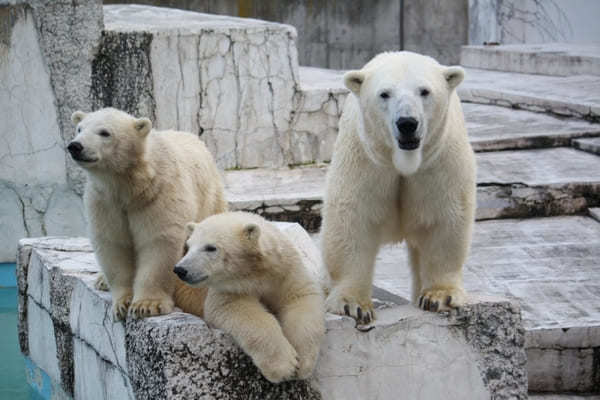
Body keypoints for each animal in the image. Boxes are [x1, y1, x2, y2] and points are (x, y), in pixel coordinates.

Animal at [68, 108, 227, 320]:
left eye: (104, 132)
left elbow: (158, 241)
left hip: (209, 198)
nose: (75, 146)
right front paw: (122, 304)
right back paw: (101, 280)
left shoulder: (159, 193)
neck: (131, 185)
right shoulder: (105, 202)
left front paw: (147, 305)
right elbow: (113, 243)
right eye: (79, 128)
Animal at [175, 212, 324, 384]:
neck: (256, 274)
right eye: (188, 246)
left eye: (210, 247)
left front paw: (303, 363)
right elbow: (235, 309)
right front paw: (284, 366)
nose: (180, 270)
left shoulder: (285, 271)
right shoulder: (229, 289)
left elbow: (300, 298)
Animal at [322, 50, 476, 324]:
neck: (403, 160)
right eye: (385, 93)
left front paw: (440, 296)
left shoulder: (439, 161)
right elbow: (352, 220)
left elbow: (445, 219)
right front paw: (353, 304)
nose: (407, 123)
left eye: (424, 91)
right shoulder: (366, 159)